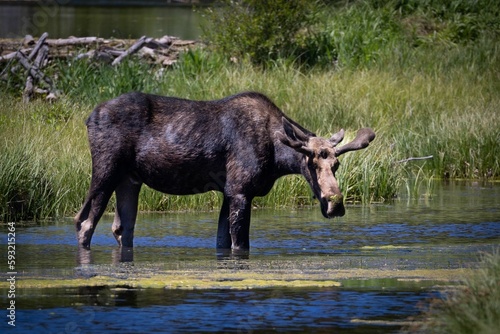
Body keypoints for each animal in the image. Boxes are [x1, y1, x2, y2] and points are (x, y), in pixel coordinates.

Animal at [75, 91, 376, 250]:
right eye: (310, 163)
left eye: (336, 164)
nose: (335, 203)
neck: (277, 160)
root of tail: (89, 118)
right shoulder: (240, 191)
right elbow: (239, 244)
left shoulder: (228, 192)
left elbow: (222, 241)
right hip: (106, 171)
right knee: (84, 223)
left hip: (129, 180)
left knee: (121, 229)